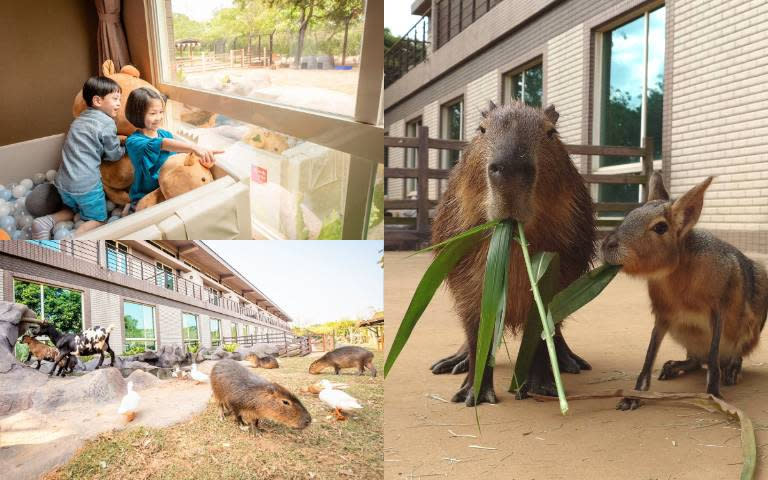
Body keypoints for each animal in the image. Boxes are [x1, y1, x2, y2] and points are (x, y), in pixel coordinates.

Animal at [428, 101, 596, 404]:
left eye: (551, 132)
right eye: (481, 129)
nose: (511, 169)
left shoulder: (559, 279)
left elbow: (544, 328)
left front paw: (542, 386)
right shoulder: (467, 284)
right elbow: (476, 332)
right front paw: (473, 394)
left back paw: (570, 361)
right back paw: (452, 362)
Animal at [604, 173, 768, 408]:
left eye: (660, 227)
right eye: (629, 216)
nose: (606, 245)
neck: (677, 279)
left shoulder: (718, 310)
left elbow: (714, 356)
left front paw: (714, 394)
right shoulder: (663, 316)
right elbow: (649, 356)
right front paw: (633, 396)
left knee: (726, 357)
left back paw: (732, 370)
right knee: (696, 361)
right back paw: (673, 366)